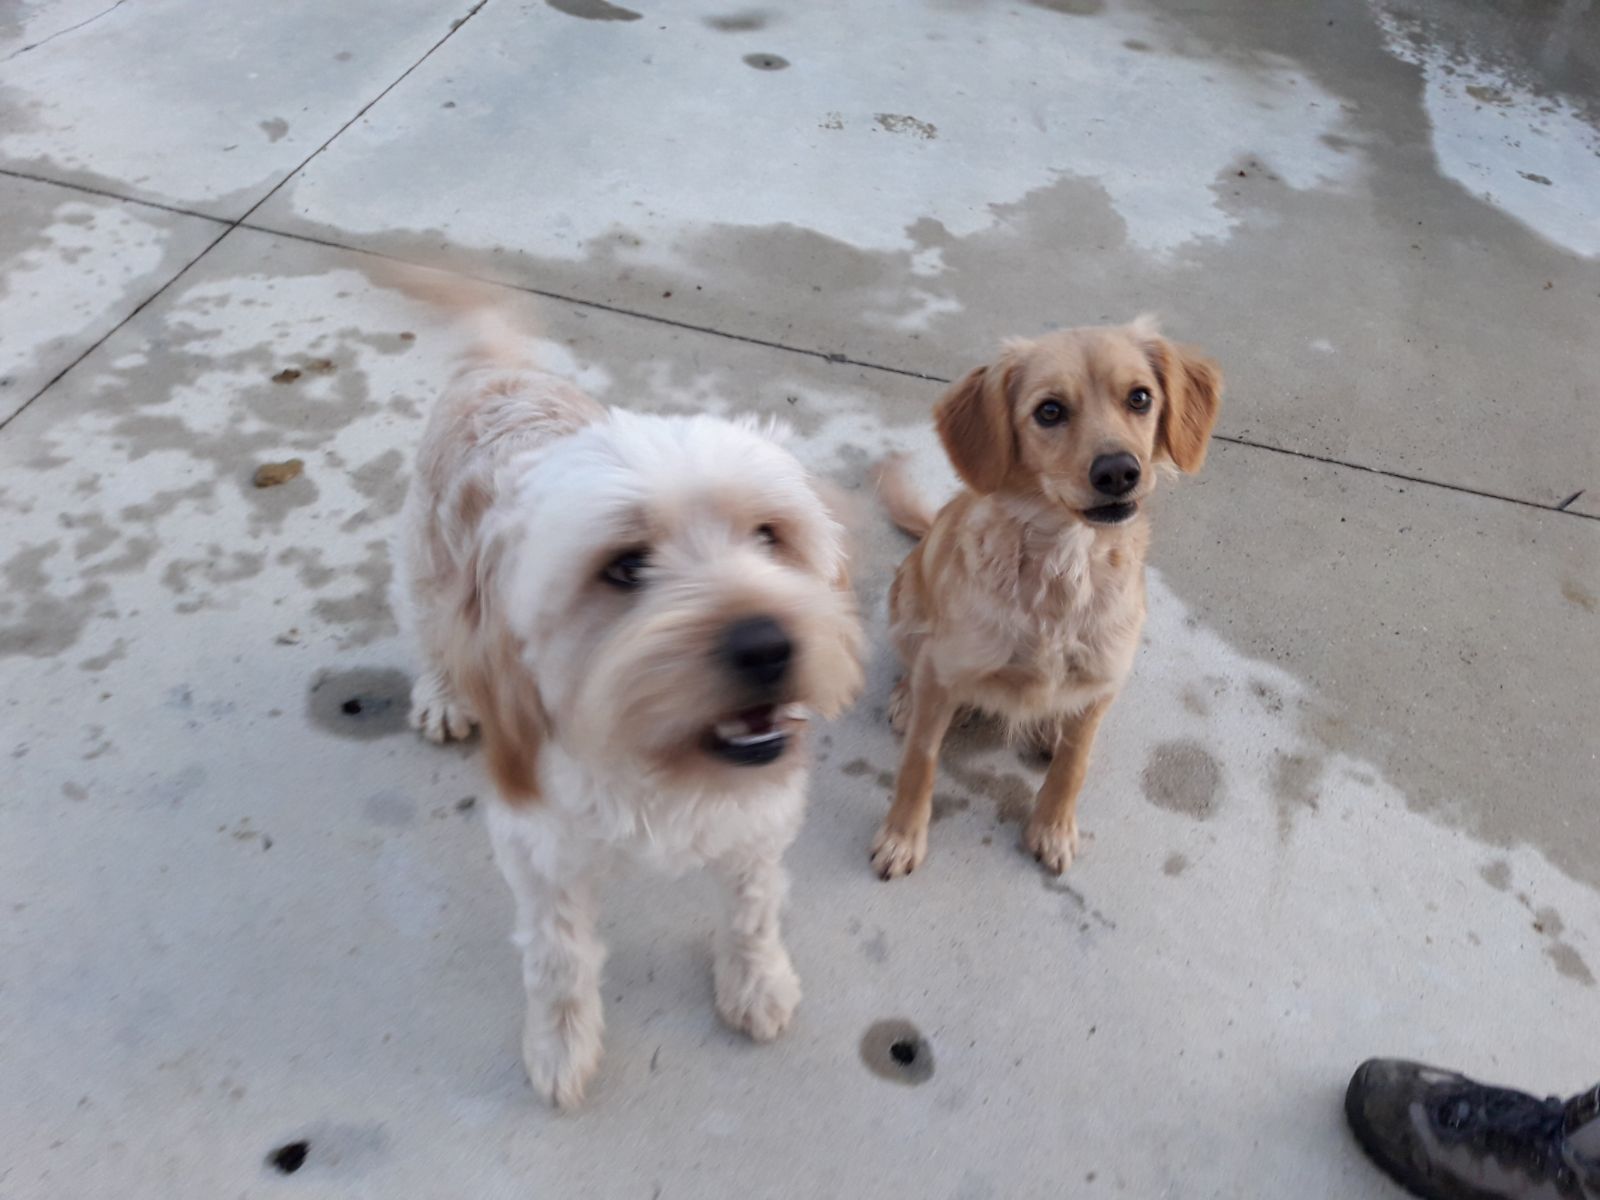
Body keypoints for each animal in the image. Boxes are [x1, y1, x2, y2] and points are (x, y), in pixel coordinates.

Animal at [398, 298, 865, 1108]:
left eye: (769, 536)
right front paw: (560, 1044)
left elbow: (753, 911)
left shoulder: (759, 820)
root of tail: (498, 371)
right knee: (429, 632)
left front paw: (756, 982)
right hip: (428, 568)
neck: (659, 760)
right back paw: (442, 694)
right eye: (624, 567)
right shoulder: (540, 849)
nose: (769, 646)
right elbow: (558, 959)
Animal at [869, 317, 1221, 880]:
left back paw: (1049, 729)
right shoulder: (945, 668)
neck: (1063, 564)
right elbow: (919, 762)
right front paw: (902, 837)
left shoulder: (1102, 682)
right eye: (1049, 411)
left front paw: (1053, 829)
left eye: (1140, 398)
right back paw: (908, 696)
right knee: (911, 662)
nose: (1119, 471)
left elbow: (1072, 768)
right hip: (905, 603)